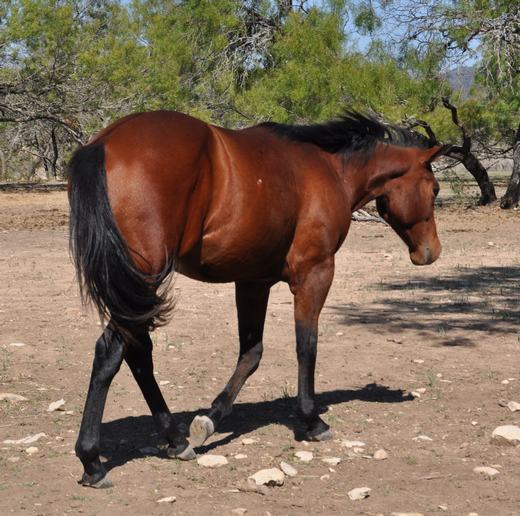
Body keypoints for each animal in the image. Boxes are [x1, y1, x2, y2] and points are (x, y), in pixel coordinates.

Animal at [67, 110, 446, 488]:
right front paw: (312, 421)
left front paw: (210, 419)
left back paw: (174, 439)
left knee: (137, 354)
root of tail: (105, 143)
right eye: (435, 188)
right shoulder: (315, 273)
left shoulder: (253, 281)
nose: (431, 252)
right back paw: (93, 461)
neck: (329, 168)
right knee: (111, 354)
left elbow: (251, 353)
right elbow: (306, 346)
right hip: (142, 283)